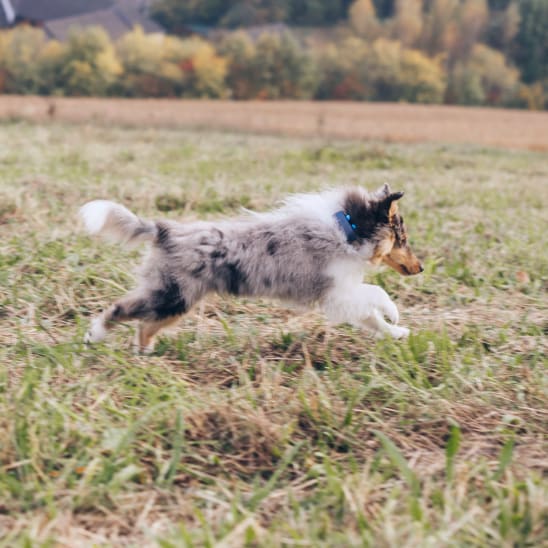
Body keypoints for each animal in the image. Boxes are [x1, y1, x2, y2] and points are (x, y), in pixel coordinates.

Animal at [80, 184, 424, 354]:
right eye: (403, 239)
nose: (421, 268)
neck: (350, 227)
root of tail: (166, 230)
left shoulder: (344, 294)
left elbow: (371, 318)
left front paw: (397, 333)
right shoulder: (336, 290)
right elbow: (377, 293)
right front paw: (394, 313)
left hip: (176, 301)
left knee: (144, 326)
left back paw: (145, 355)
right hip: (171, 295)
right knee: (120, 309)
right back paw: (95, 335)